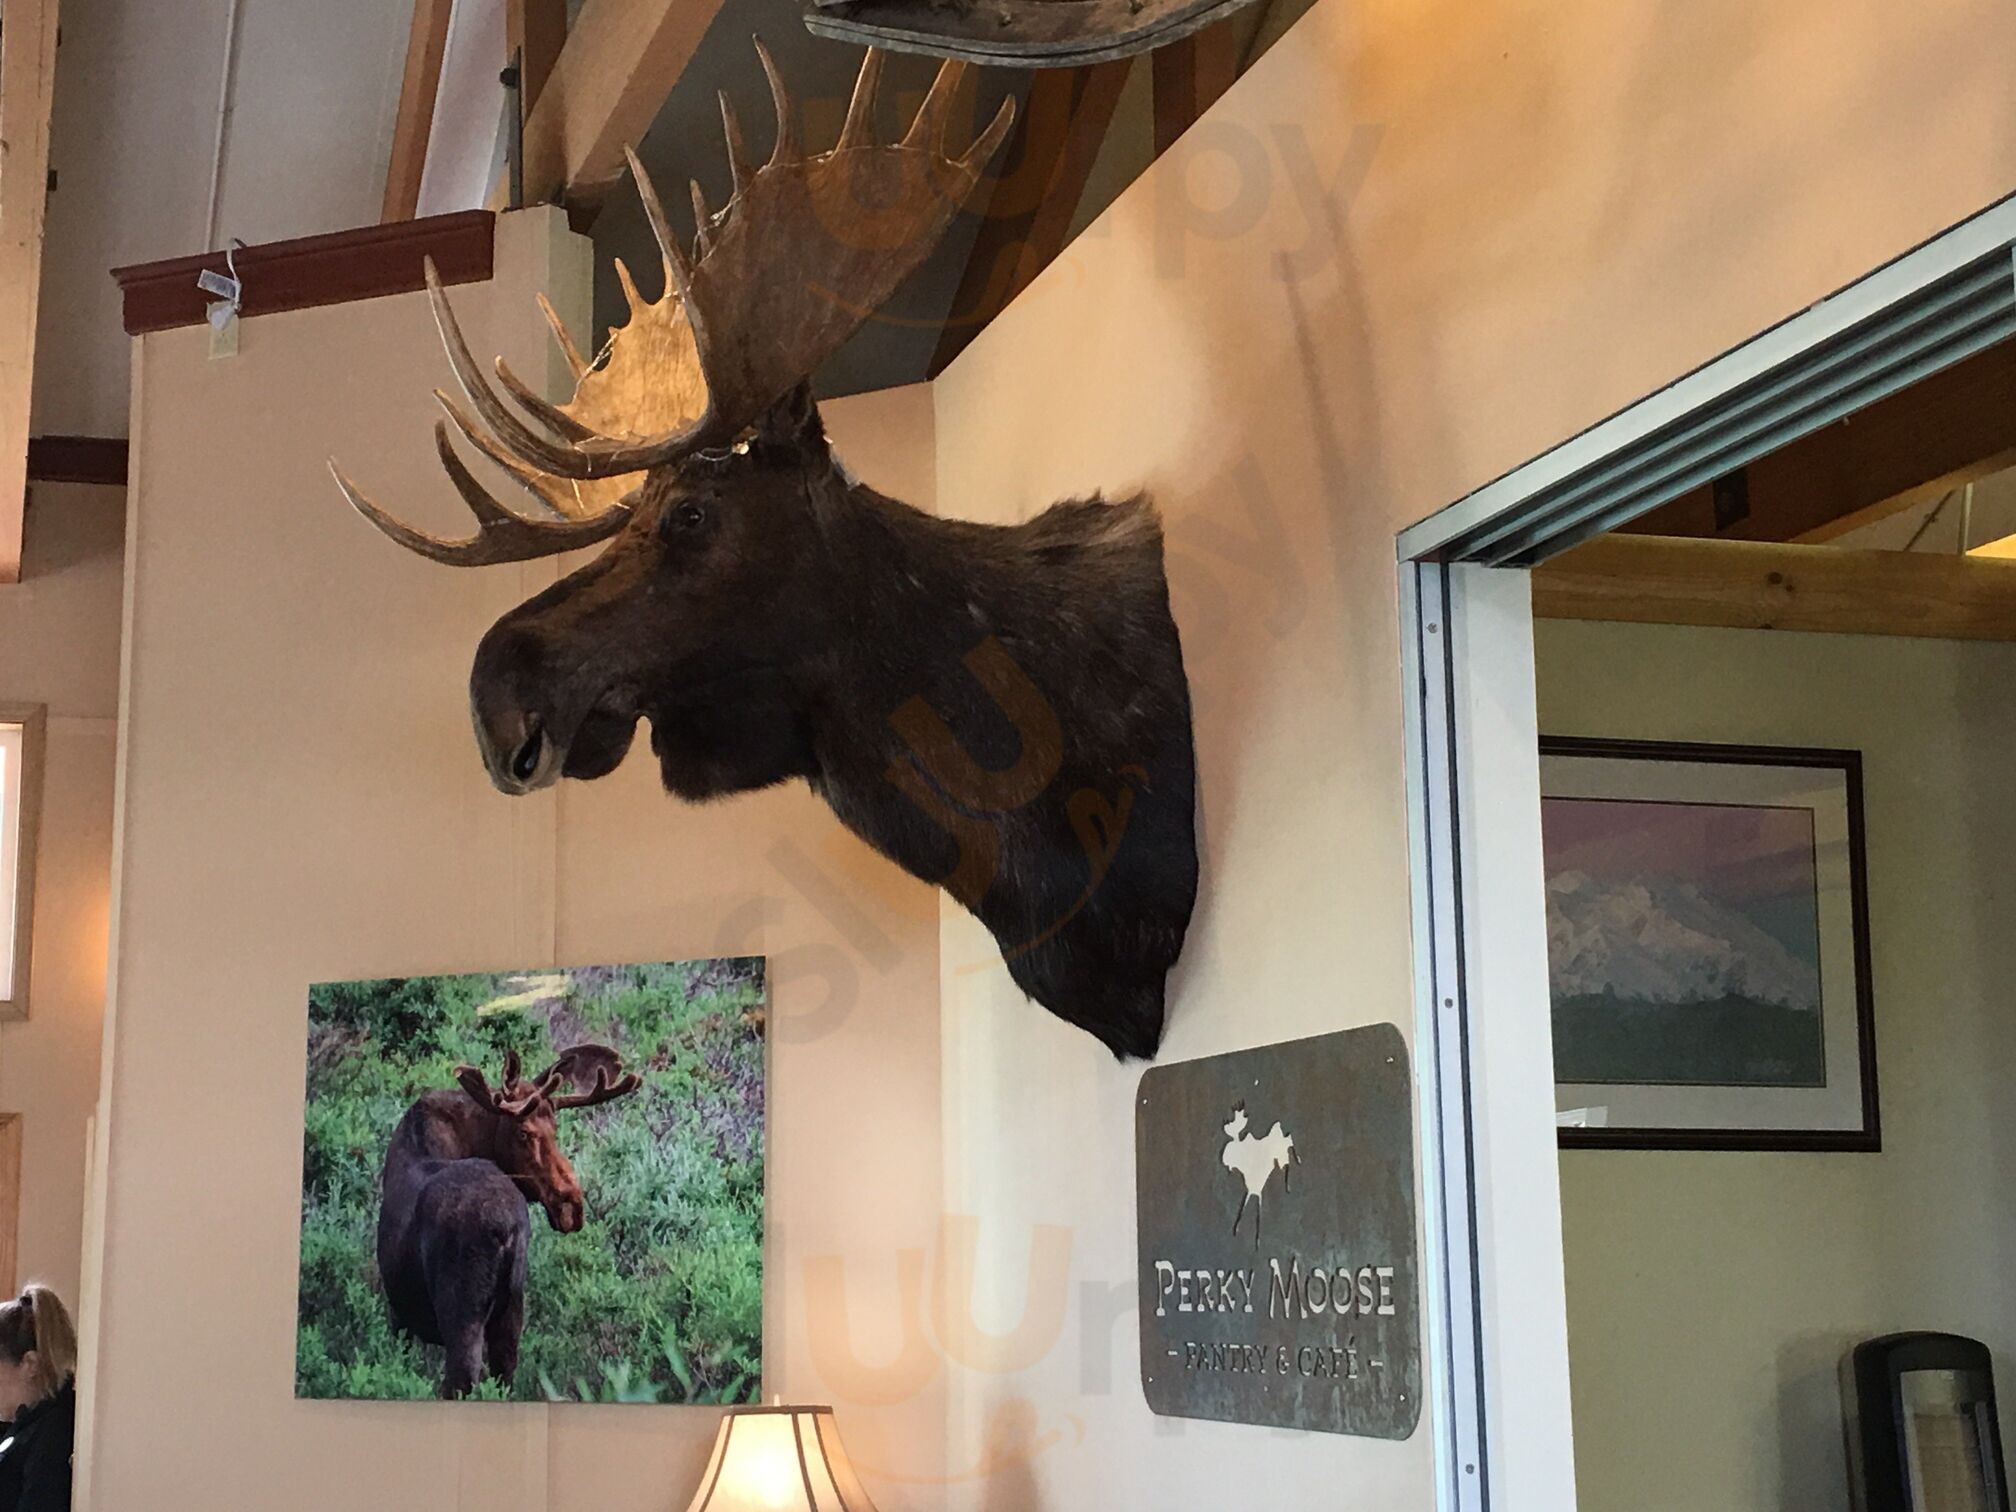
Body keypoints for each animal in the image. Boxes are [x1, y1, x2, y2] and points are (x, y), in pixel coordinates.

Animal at [376, 1044, 640, 1397]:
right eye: (524, 1133)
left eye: (555, 1129)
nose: (571, 1205)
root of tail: (503, 1230)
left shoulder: (398, 1313)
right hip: (512, 1309)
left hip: (462, 1312)